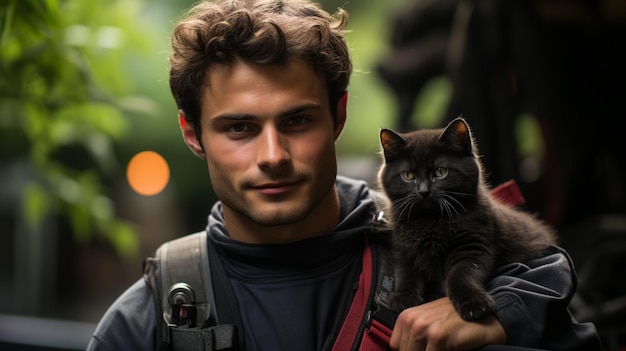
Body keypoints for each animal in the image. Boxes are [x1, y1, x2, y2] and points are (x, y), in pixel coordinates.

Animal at [376, 117, 556, 322]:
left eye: (441, 172)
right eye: (408, 175)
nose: (424, 191)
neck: (431, 220)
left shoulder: (473, 245)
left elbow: (462, 274)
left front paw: (474, 304)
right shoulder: (404, 247)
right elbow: (405, 271)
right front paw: (403, 297)